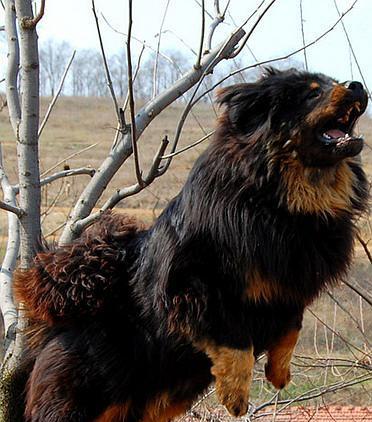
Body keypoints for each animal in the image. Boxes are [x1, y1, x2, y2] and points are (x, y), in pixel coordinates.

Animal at [15, 67, 370, 420]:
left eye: (334, 82)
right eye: (312, 92)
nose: (357, 85)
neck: (282, 202)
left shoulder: (292, 286)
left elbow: (292, 327)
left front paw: (279, 372)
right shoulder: (196, 282)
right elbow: (234, 337)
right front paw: (235, 394)